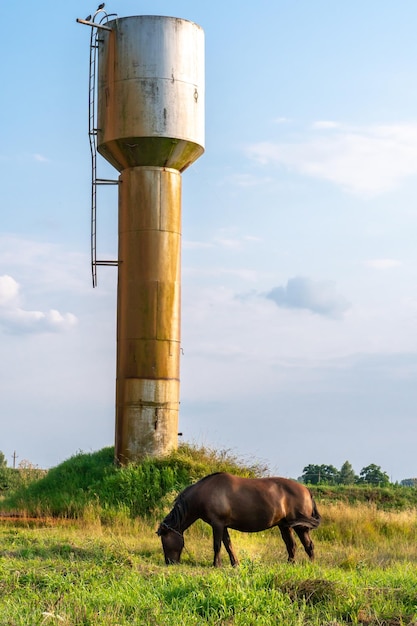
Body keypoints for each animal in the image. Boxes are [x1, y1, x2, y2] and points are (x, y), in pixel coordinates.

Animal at [155, 468, 318, 564]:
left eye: (164, 541)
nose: (169, 563)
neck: (204, 493)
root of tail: (307, 490)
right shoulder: (223, 526)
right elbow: (228, 545)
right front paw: (235, 563)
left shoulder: (217, 524)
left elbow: (217, 545)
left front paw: (216, 564)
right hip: (284, 526)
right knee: (291, 545)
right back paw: (290, 563)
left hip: (300, 527)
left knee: (308, 545)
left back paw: (311, 564)